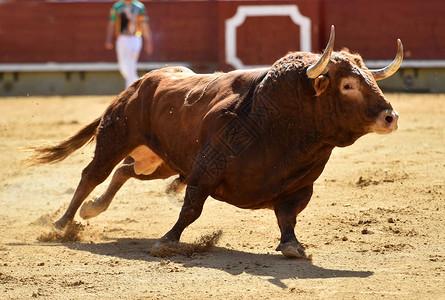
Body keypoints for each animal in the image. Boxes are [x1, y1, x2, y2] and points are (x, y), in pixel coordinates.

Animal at [29, 26, 400, 258]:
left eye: (370, 80)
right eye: (348, 85)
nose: (390, 116)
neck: (280, 122)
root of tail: (138, 84)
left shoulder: (299, 185)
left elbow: (288, 216)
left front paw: (292, 246)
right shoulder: (206, 168)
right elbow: (192, 207)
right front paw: (166, 242)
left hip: (163, 161)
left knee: (124, 171)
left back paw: (93, 209)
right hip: (116, 137)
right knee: (93, 174)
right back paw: (62, 223)